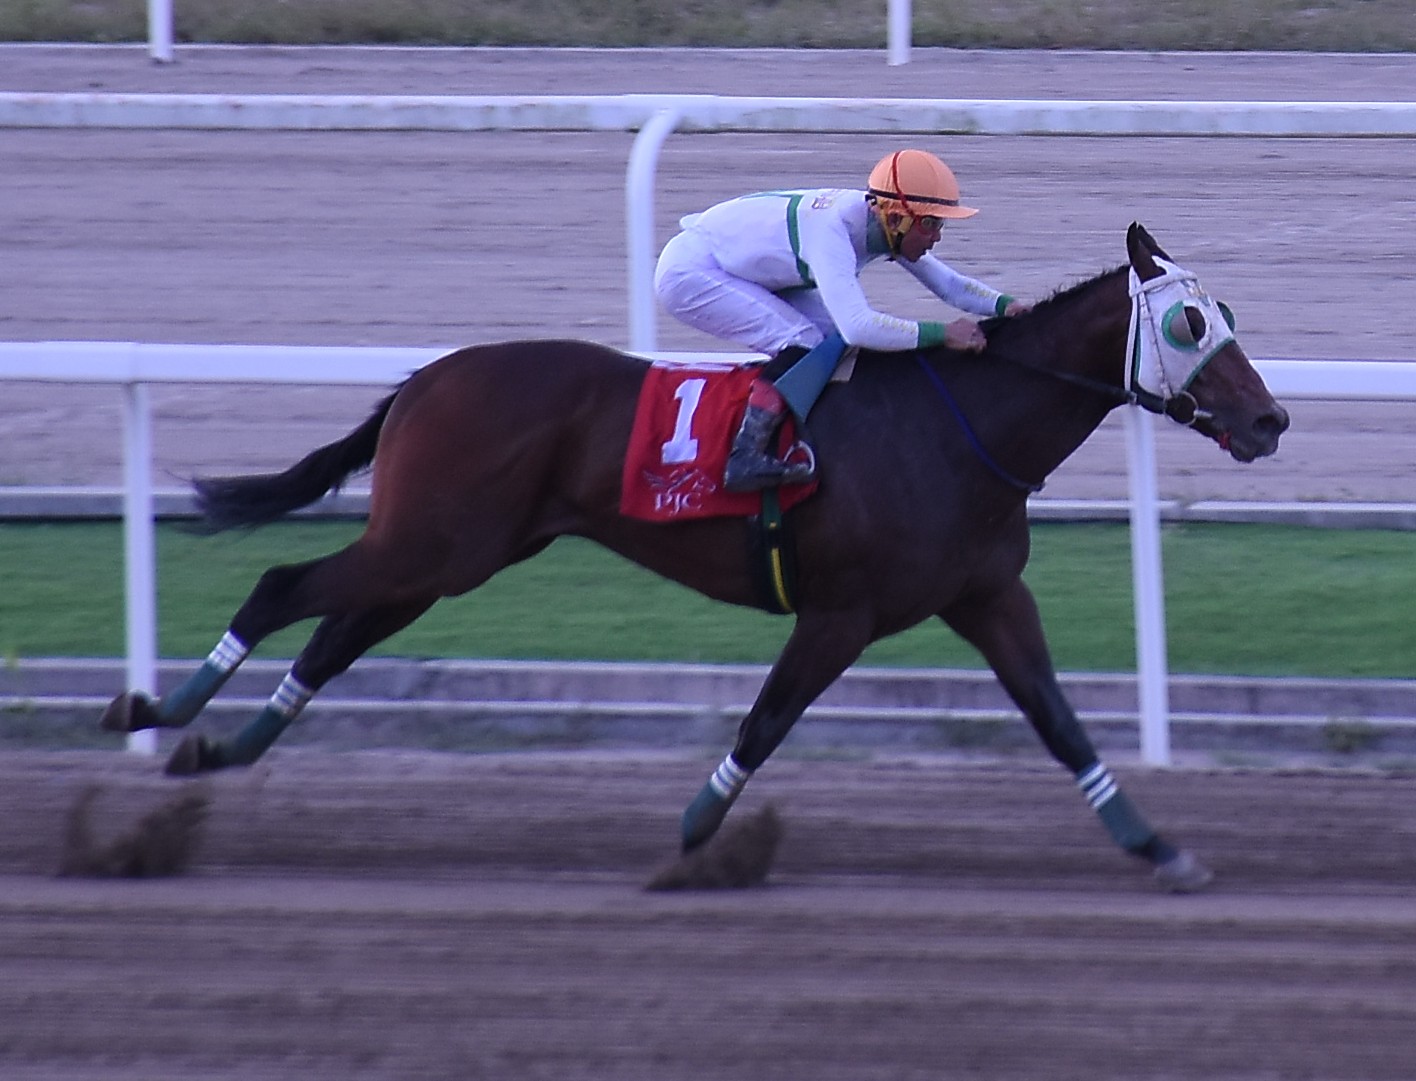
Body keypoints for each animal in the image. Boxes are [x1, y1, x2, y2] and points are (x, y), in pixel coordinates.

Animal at [101, 223, 1288, 892]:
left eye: (1225, 311)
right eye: (1188, 323)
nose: (1270, 419)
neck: (961, 428)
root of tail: (426, 378)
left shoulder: (988, 595)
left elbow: (1060, 721)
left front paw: (1160, 849)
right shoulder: (841, 614)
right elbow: (766, 720)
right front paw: (697, 837)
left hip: (451, 552)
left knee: (336, 633)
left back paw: (220, 749)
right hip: (429, 540)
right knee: (283, 587)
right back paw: (153, 710)